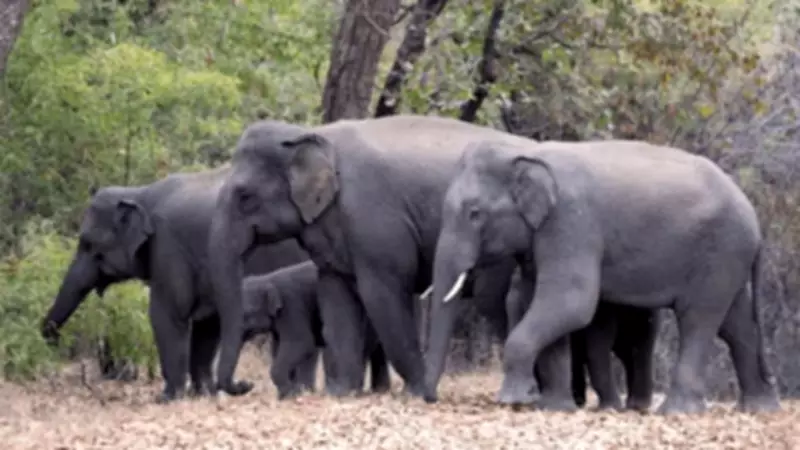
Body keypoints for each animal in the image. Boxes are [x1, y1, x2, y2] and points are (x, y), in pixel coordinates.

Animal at [241, 260, 389, 399]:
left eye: (247, 314)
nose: (249, 385)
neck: (267, 278)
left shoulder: (292, 306)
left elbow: (300, 343)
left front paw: (294, 393)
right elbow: (279, 347)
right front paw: (291, 394)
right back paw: (379, 389)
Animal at [425, 138, 782, 415]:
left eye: (474, 214)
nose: (431, 398)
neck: (526, 152)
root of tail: (753, 214)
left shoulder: (571, 221)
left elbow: (570, 302)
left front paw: (514, 401)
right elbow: (540, 301)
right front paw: (553, 407)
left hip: (720, 252)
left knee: (699, 319)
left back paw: (678, 411)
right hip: (729, 258)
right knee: (736, 325)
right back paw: (760, 408)